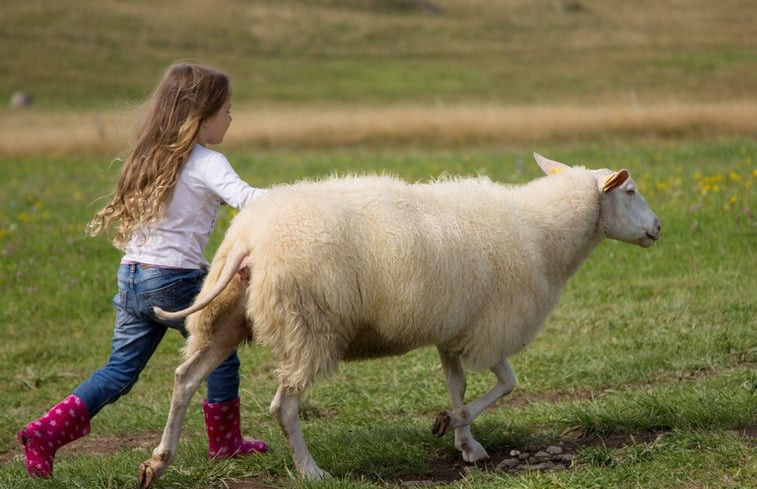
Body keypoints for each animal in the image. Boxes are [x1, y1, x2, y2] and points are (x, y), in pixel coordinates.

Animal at [139, 152, 660, 484]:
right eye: (631, 190)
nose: (657, 228)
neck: (543, 233)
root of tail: (250, 239)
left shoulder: (455, 329)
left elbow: (458, 385)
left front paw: (466, 444)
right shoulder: (491, 327)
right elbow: (507, 383)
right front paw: (448, 424)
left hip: (223, 319)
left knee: (186, 380)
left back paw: (158, 462)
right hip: (308, 326)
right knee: (282, 407)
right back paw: (311, 471)